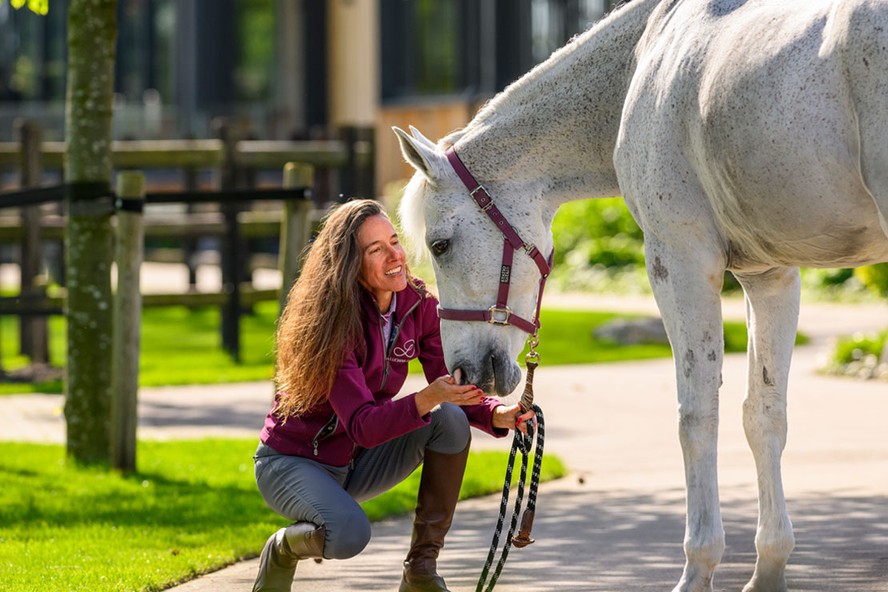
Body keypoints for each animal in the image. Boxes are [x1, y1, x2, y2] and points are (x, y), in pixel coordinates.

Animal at [394, 1, 888, 592]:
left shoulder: (679, 259)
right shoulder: (770, 275)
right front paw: (769, 568)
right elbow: (764, 415)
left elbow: (697, 415)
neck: (641, 58)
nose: (464, 371)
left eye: (440, 245)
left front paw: (698, 567)